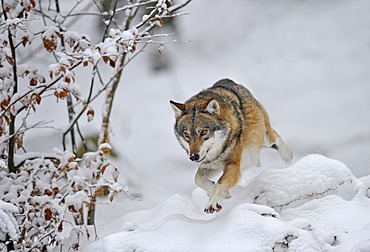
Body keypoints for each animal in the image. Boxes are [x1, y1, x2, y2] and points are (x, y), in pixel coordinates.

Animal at [169, 78, 294, 213]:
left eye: (203, 132)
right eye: (187, 135)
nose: (193, 157)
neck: (218, 152)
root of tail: (230, 81)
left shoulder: (233, 165)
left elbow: (220, 183)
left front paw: (213, 202)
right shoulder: (210, 165)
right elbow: (197, 178)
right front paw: (221, 193)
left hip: (263, 138)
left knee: (274, 135)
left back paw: (288, 157)